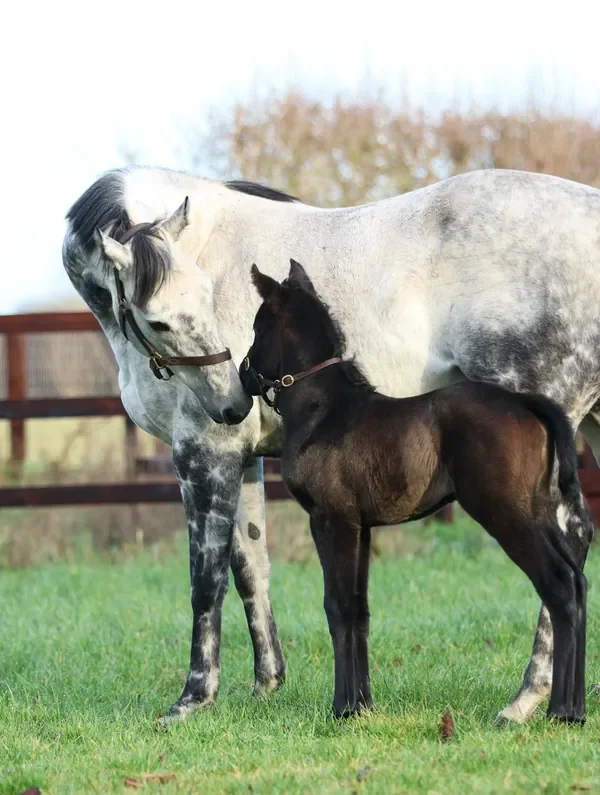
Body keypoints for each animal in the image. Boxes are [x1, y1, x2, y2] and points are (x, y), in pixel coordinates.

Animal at [241, 260, 593, 723]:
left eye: (258, 327)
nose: (242, 374)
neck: (324, 409)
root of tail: (527, 403)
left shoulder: (331, 519)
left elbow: (338, 606)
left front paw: (341, 708)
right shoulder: (362, 527)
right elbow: (360, 608)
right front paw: (362, 705)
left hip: (507, 515)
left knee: (560, 586)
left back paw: (562, 710)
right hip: (537, 511)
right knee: (578, 582)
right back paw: (573, 708)